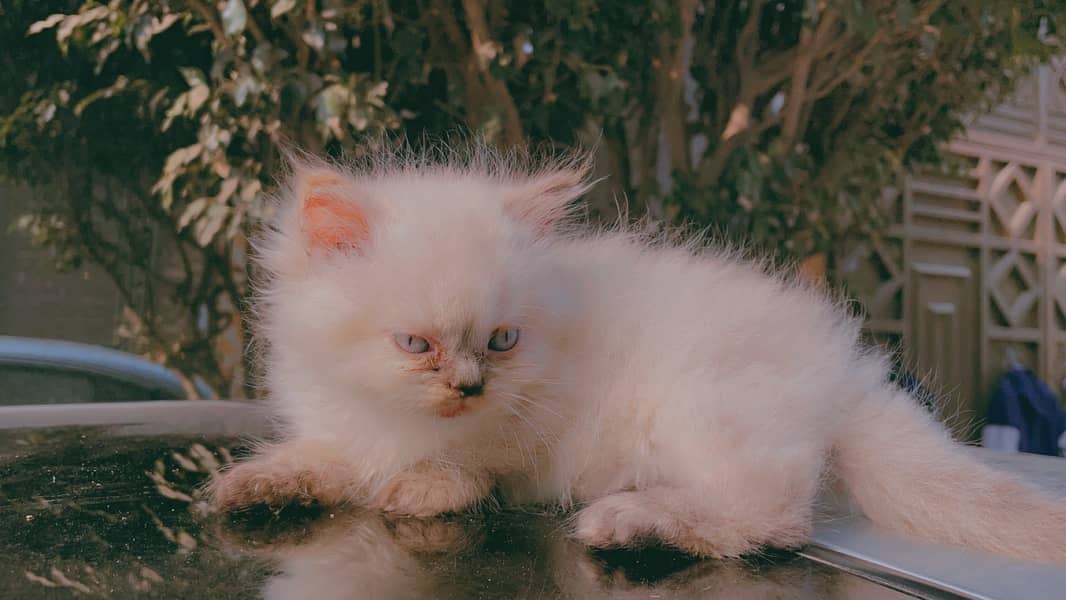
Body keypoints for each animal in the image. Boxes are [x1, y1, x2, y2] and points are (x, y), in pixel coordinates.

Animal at [207, 143, 1066, 562]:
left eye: (502, 341)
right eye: (416, 345)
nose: (469, 387)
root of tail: (849, 373)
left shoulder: (529, 438)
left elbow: (465, 467)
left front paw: (422, 487)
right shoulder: (344, 424)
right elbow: (327, 458)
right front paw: (257, 484)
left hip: (699, 406)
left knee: (772, 517)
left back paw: (632, 523)